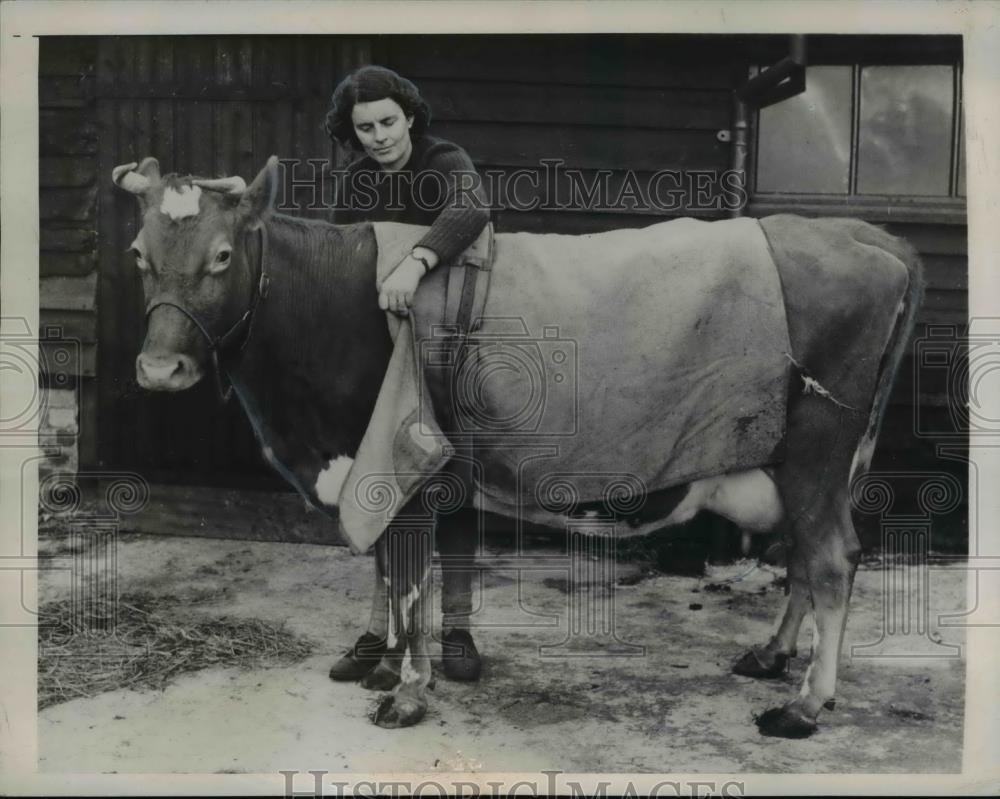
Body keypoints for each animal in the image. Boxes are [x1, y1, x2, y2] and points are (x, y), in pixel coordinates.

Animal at [115, 153, 920, 740]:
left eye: (223, 255)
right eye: (139, 254)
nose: (158, 369)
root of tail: (861, 236)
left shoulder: (395, 464)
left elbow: (410, 578)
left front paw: (408, 692)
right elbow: (387, 572)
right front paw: (380, 665)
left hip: (817, 451)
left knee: (831, 559)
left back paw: (806, 704)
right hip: (803, 466)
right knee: (803, 558)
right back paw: (772, 655)